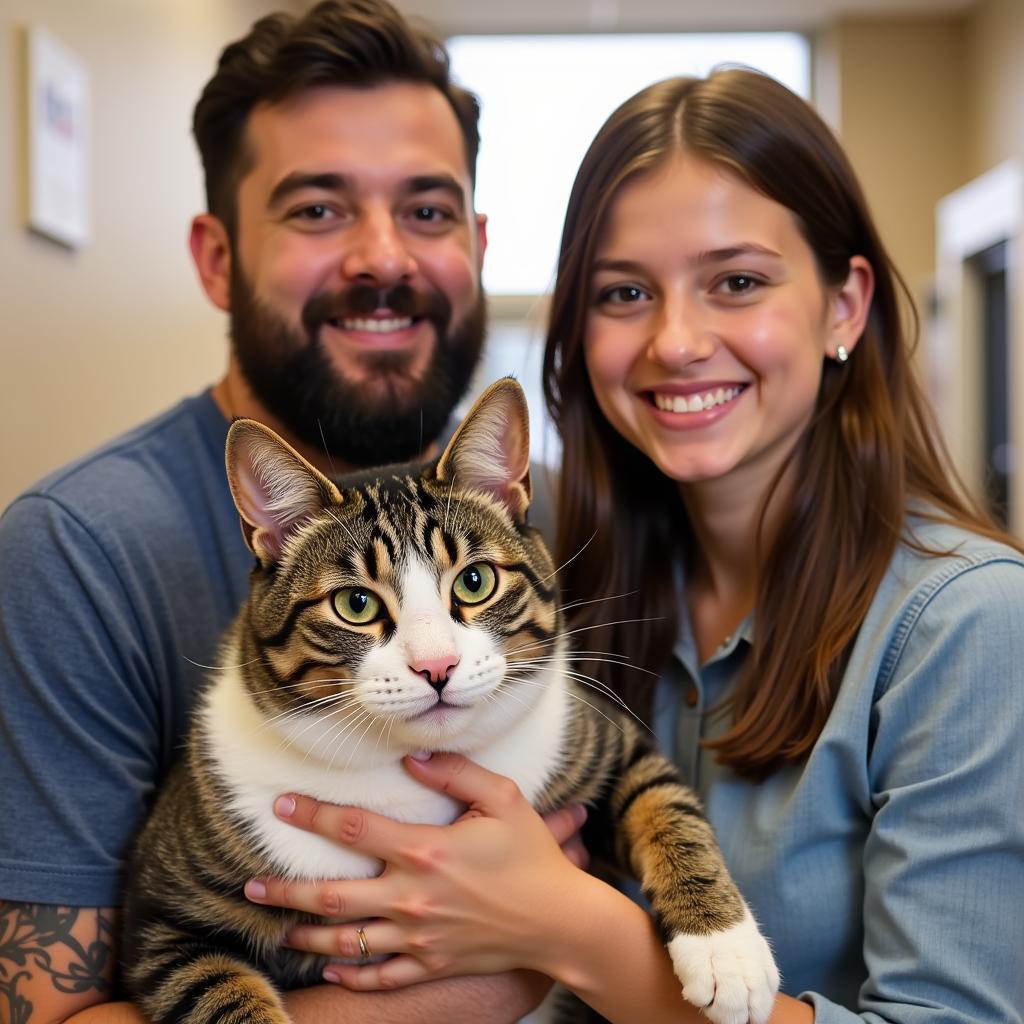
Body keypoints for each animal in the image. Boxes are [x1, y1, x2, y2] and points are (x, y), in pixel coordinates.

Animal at [121, 376, 774, 1024]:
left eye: (475, 581)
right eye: (355, 604)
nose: (436, 667)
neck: (409, 778)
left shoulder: (602, 745)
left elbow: (665, 806)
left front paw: (726, 950)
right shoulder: (163, 919)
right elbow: (218, 994)